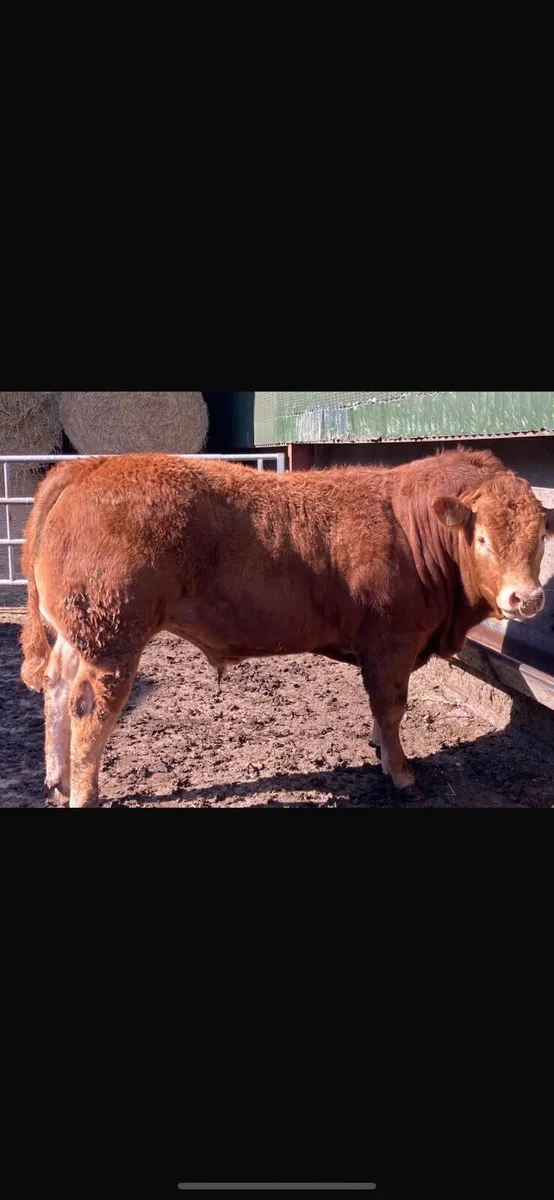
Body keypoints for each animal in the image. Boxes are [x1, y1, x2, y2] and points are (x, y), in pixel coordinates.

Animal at [20, 448, 553, 807]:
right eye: (482, 538)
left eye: (540, 540)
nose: (526, 598)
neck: (408, 525)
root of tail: (91, 466)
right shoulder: (392, 643)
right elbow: (391, 707)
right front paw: (401, 773)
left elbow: (383, 713)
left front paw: (381, 750)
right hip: (113, 639)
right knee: (89, 709)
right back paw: (84, 792)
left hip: (78, 635)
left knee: (56, 687)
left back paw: (58, 780)